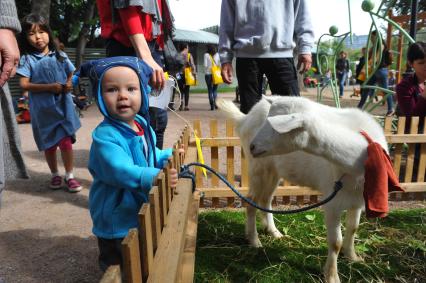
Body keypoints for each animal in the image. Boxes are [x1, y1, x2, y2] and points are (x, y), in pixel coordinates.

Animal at [216, 96, 386, 283]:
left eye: (274, 126)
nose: (254, 146)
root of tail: (244, 119)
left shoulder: (356, 199)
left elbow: (353, 228)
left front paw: (353, 257)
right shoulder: (333, 200)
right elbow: (335, 242)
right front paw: (332, 276)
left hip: (273, 171)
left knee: (265, 200)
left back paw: (274, 232)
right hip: (258, 167)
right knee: (251, 202)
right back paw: (254, 241)